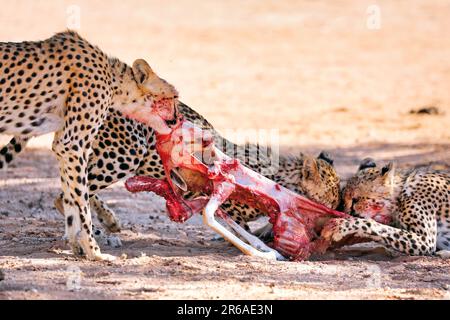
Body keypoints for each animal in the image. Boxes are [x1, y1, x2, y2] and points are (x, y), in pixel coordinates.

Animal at [0, 30, 179, 260]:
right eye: (174, 97)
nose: (177, 120)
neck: (115, 81)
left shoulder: (64, 145)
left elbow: (70, 198)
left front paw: (77, 247)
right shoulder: (72, 144)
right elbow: (81, 202)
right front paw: (94, 251)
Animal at [1, 102, 342, 245]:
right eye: (333, 194)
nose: (340, 209)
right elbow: (238, 220)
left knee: (77, 183)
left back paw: (108, 221)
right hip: (124, 155)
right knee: (66, 194)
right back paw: (95, 232)